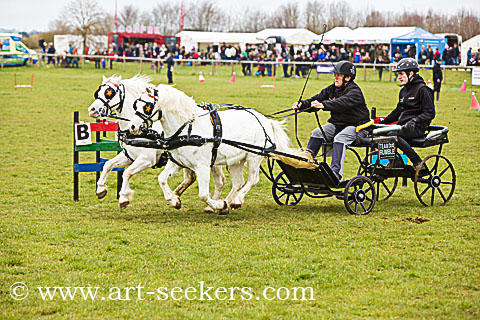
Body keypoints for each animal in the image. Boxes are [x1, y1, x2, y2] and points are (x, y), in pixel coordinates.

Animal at [86, 75, 225, 210]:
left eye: (109, 93)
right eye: (98, 92)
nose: (92, 110)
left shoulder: (147, 159)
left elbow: (127, 173)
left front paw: (124, 197)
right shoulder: (128, 156)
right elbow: (108, 165)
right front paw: (101, 189)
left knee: (219, 181)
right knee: (194, 178)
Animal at [127, 84, 290, 214]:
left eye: (147, 106)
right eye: (135, 104)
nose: (132, 126)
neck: (188, 128)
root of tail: (265, 120)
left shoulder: (203, 166)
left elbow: (203, 195)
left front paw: (217, 204)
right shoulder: (177, 162)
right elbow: (161, 179)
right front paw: (174, 200)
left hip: (254, 157)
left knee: (253, 180)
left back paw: (236, 200)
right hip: (235, 161)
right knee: (238, 182)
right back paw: (228, 202)